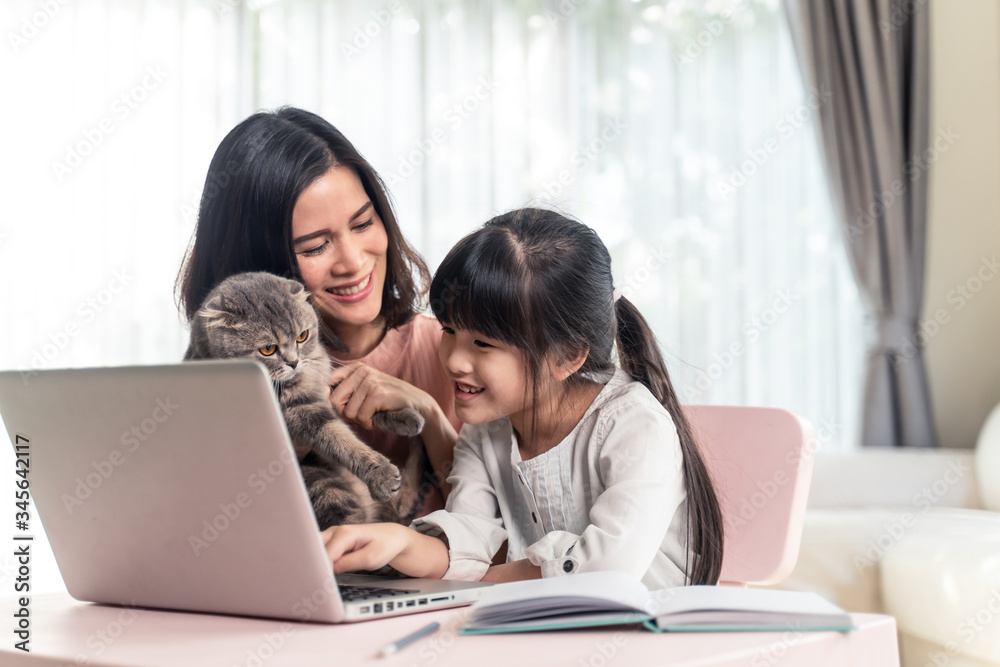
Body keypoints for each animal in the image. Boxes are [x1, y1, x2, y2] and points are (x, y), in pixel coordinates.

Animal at [186, 268, 432, 528]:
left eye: (302, 336)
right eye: (267, 349)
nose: (294, 362)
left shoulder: (323, 381)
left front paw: (404, 416)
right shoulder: (301, 409)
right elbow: (341, 437)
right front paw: (380, 474)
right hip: (323, 487)